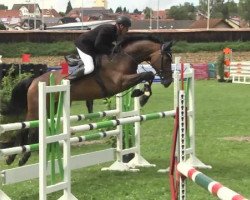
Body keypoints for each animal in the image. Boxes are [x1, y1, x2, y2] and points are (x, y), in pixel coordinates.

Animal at [0, 35, 173, 166]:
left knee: (33, 129)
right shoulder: (120, 82)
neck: (123, 58)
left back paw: (19, 157)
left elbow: (148, 76)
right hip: (36, 108)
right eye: (167, 59)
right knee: (24, 127)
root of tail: (35, 80)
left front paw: (140, 94)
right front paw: (141, 95)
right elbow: (148, 74)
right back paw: (15, 157)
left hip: (51, 108)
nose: (168, 81)